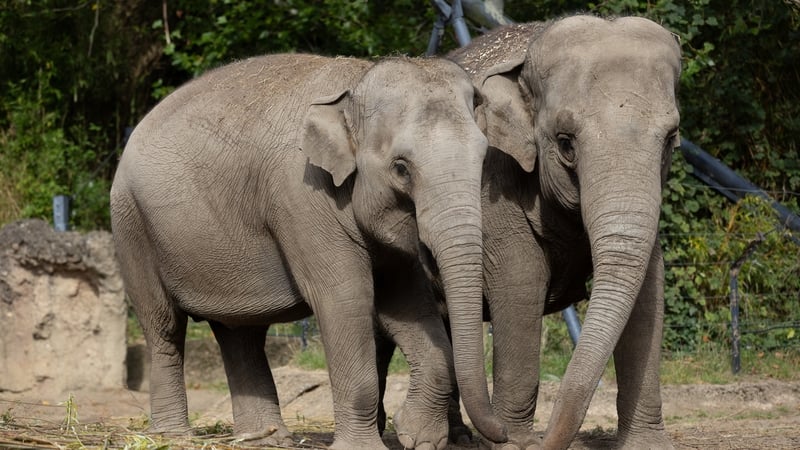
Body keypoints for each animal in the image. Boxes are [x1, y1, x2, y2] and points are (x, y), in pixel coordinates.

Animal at [110, 53, 509, 450]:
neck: (355, 84)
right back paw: (173, 435)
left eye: (483, 158)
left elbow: (408, 303)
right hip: (132, 227)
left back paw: (266, 439)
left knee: (240, 331)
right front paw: (366, 447)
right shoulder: (303, 199)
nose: (503, 434)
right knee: (164, 326)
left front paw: (419, 438)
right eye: (401, 168)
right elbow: (346, 298)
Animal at [444, 15, 683, 449]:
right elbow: (520, 284)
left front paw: (647, 445)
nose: (544, 439)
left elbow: (648, 293)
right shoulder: (492, 184)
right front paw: (515, 443)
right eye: (566, 143)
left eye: (671, 139)